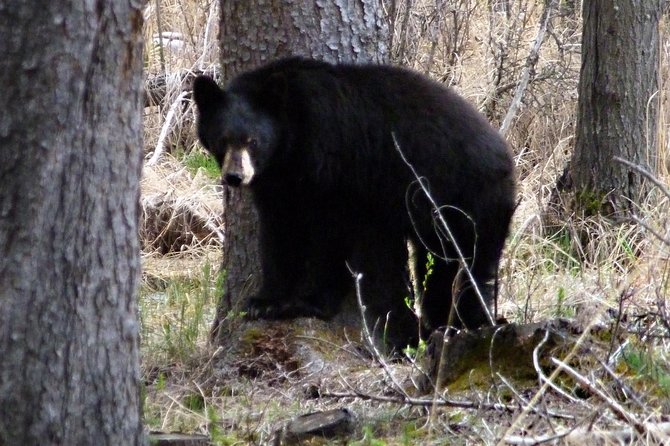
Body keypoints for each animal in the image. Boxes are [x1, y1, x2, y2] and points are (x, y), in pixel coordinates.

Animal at [194, 57, 520, 350]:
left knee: (461, 266)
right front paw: (264, 301)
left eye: (253, 141)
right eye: (222, 139)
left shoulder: (332, 166)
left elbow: (328, 235)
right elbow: (278, 231)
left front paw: (310, 302)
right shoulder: (276, 183)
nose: (235, 177)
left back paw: (462, 326)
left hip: (463, 201)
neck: (292, 140)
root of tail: (506, 156)